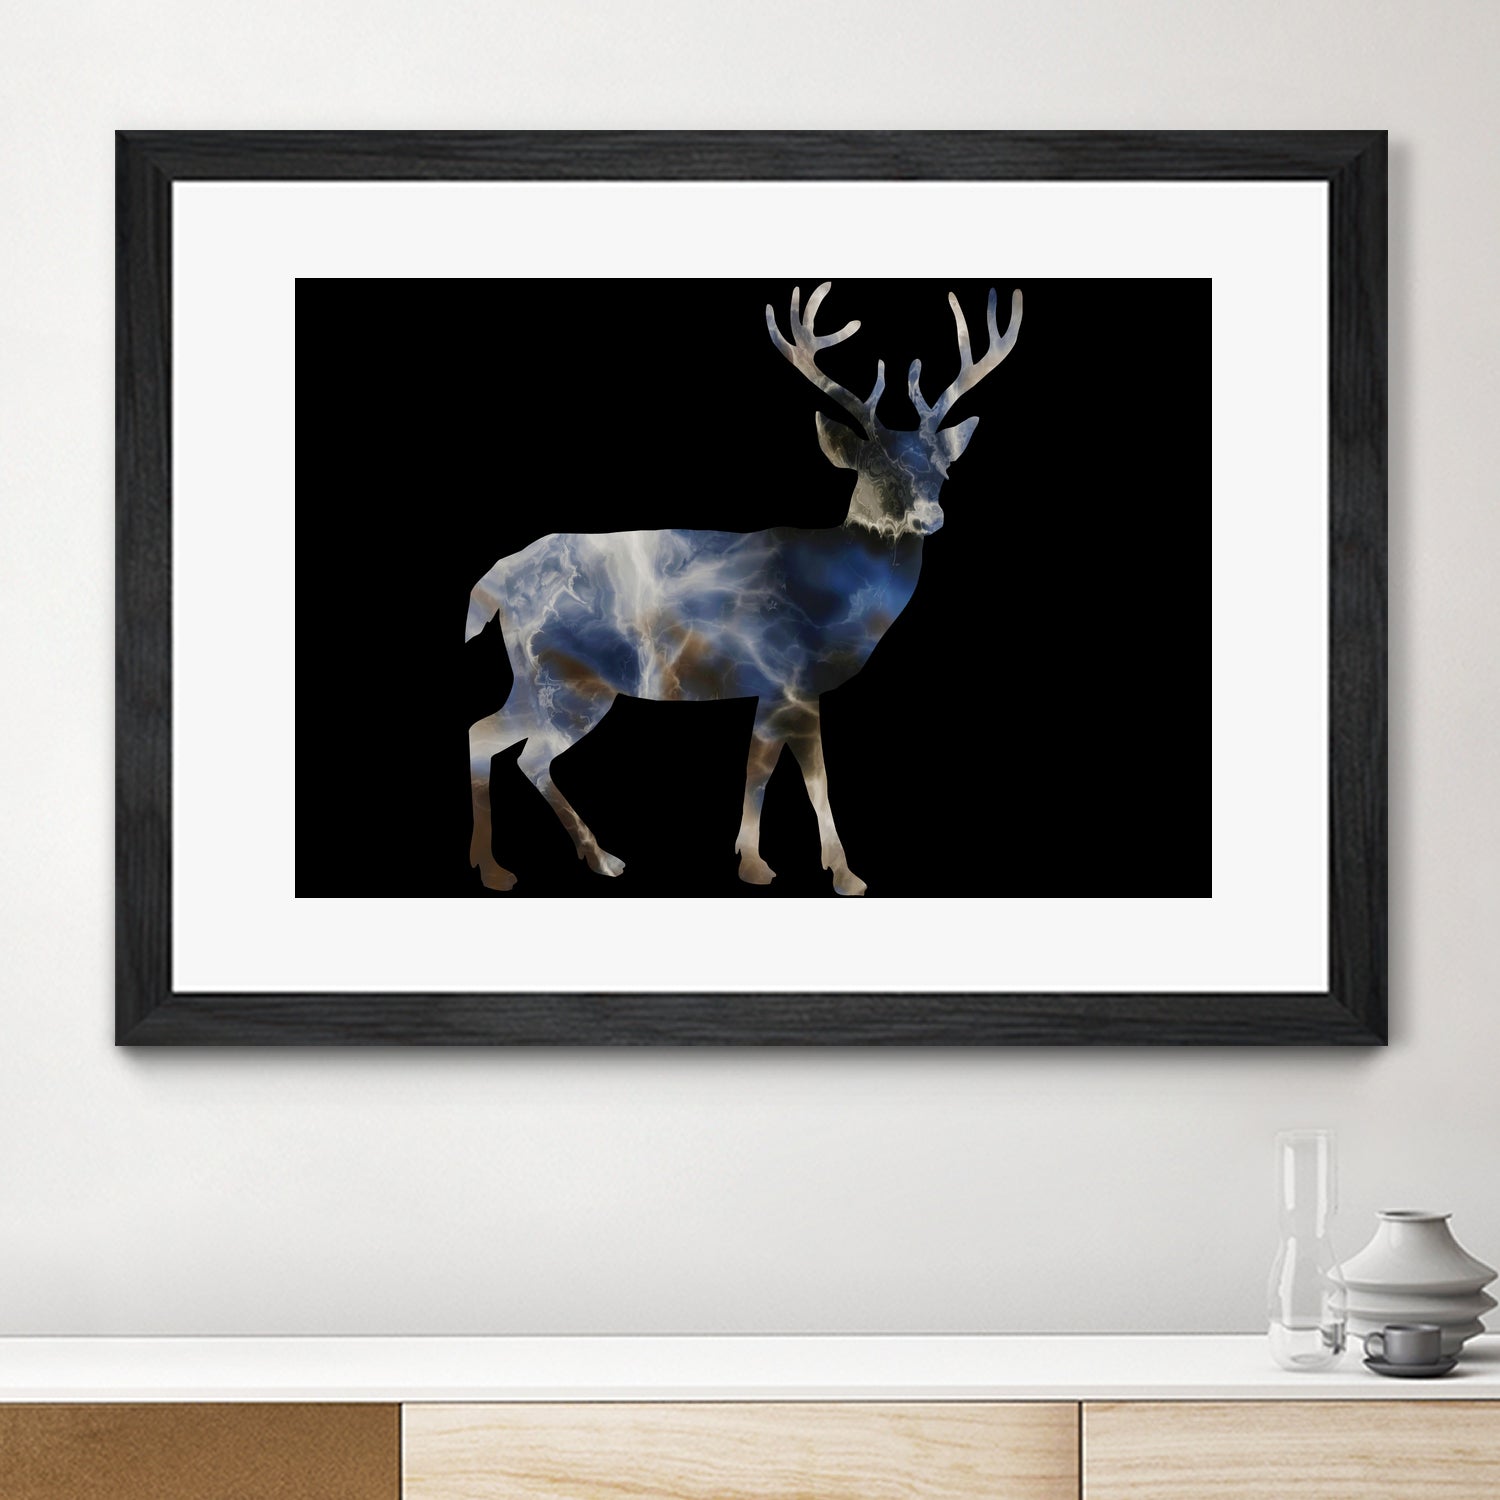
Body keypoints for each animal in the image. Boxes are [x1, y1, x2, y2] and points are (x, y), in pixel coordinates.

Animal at [464, 282, 1022, 895]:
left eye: (943, 471)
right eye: (876, 470)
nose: (931, 517)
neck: (837, 594)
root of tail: (497, 580)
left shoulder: (773, 688)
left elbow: (759, 768)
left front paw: (753, 859)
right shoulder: (792, 677)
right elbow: (807, 777)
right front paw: (838, 872)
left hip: (536, 676)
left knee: (488, 735)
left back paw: (529, 861)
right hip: (568, 678)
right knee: (523, 752)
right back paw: (563, 861)